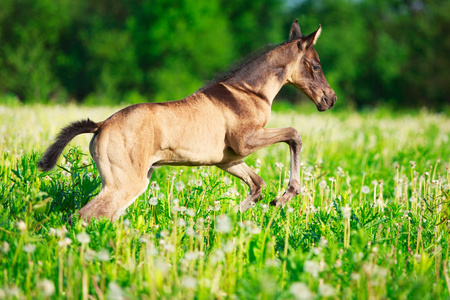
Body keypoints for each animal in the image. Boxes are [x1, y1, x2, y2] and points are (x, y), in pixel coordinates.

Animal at [38, 18, 336, 220]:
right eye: (316, 65)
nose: (330, 99)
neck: (250, 92)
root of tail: (100, 125)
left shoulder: (228, 159)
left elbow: (257, 185)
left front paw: (227, 218)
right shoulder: (246, 142)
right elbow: (294, 135)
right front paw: (285, 196)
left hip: (127, 182)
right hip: (124, 184)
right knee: (84, 217)